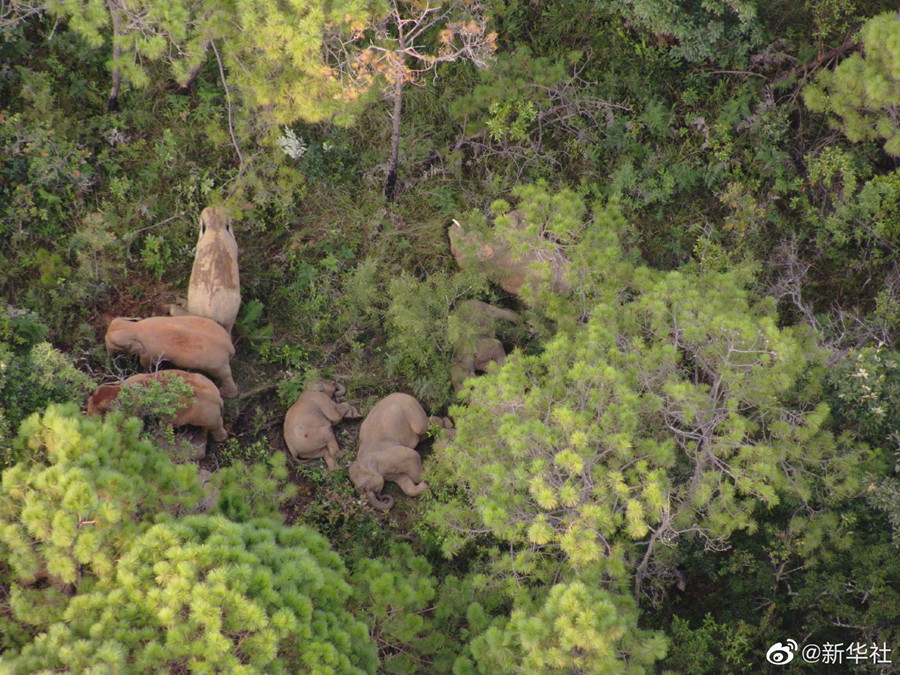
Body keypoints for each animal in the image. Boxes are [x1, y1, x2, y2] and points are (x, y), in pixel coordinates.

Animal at [86, 370, 229, 444]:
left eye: (101, 410)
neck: (120, 389)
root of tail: (218, 398)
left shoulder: (136, 407)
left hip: (208, 415)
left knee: (215, 425)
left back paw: (219, 439)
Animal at [104, 316, 237, 398]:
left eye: (114, 345)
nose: (110, 356)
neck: (135, 328)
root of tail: (229, 344)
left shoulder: (149, 353)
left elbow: (145, 363)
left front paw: (146, 371)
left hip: (217, 364)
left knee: (225, 375)